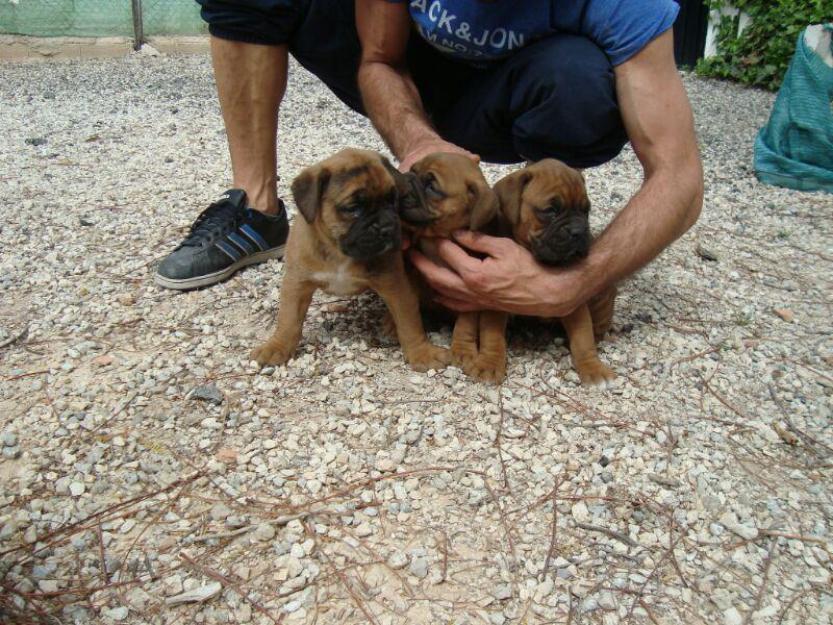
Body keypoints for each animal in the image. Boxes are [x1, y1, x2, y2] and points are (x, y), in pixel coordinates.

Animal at [252, 147, 448, 370]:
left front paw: (421, 352)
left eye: (392, 200)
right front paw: (276, 347)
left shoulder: (396, 285)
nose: (387, 228)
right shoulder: (296, 284)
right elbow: (288, 319)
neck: (339, 252)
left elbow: (409, 322)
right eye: (354, 208)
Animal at [394, 154, 510, 382]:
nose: (405, 178)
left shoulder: (468, 295)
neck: (434, 239)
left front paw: (463, 350)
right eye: (413, 169)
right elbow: (406, 305)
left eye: (432, 187)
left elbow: (465, 324)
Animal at [490, 160, 616, 386]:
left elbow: (584, 340)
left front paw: (593, 368)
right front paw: (489, 363)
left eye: (586, 211)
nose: (578, 231)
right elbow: (493, 334)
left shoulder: (575, 305)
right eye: (550, 211)